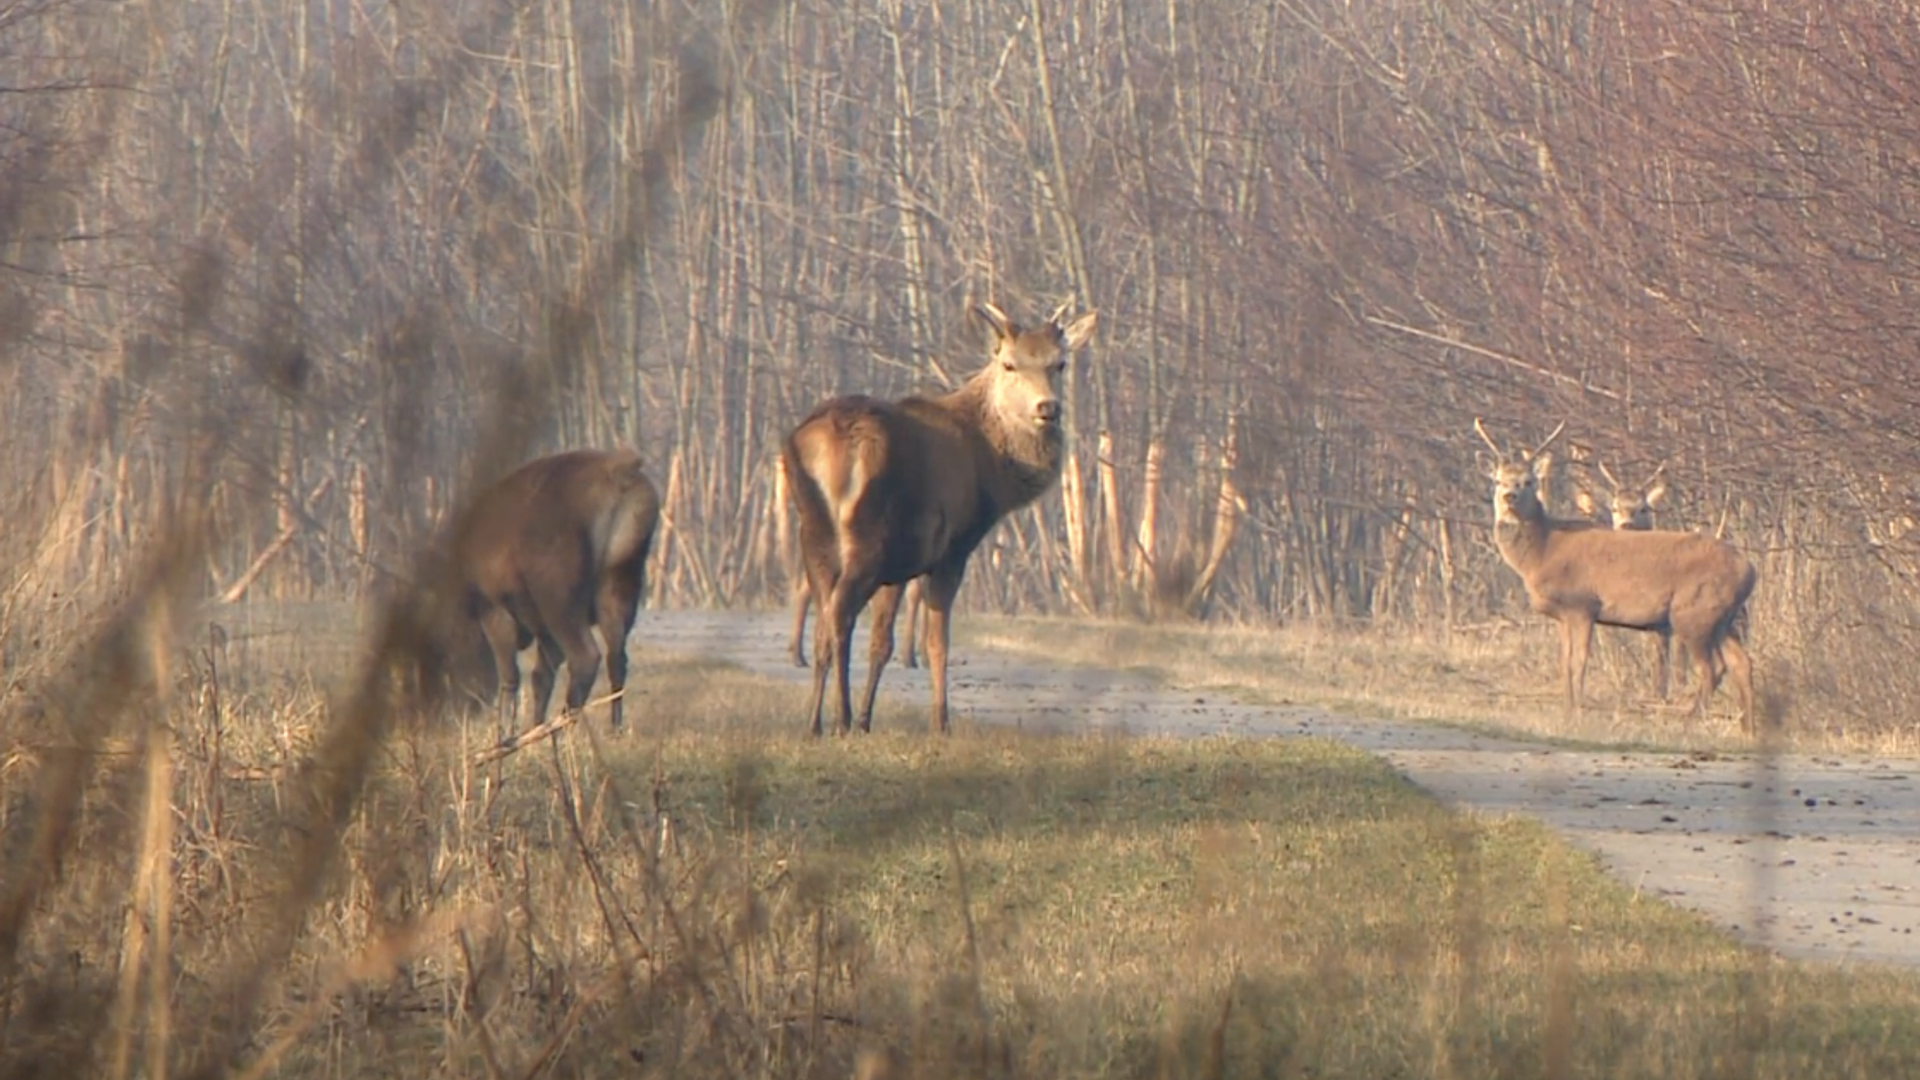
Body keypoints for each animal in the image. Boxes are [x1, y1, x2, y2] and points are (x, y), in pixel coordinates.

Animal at [439, 443, 664, 730]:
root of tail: (622, 473)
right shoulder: (541, 629)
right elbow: (540, 677)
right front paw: (532, 724)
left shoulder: (495, 609)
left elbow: (511, 677)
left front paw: (506, 732)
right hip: (620, 580)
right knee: (617, 658)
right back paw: (613, 728)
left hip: (559, 595)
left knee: (585, 656)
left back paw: (561, 727)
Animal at [783, 297, 1098, 730]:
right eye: (1009, 364)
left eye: (1060, 363)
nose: (1047, 407)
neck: (991, 473)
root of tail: (827, 444)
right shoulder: (953, 549)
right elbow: (938, 642)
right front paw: (940, 723)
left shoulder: (901, 563)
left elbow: (881, 642)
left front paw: (867, 720)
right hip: (866, 536)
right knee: (840, 615)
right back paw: (840, 719)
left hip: (815, 532)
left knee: (822, 620)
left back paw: (815, 723)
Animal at [1474, 420, 1758, 730]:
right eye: (1498, 480)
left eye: (1527, 481)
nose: (1509, 497)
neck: (1543, 552)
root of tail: (1750, 570)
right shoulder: (1562, 614)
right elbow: (1564, 663)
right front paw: (1565, 713)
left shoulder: (1582, 604)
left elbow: (1578, 662)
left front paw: (1576, 716)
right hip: (1721, 618)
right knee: (1741, 662)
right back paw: (1748, 727)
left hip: (1694, 612)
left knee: (1712, 667)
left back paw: (1689, 721)